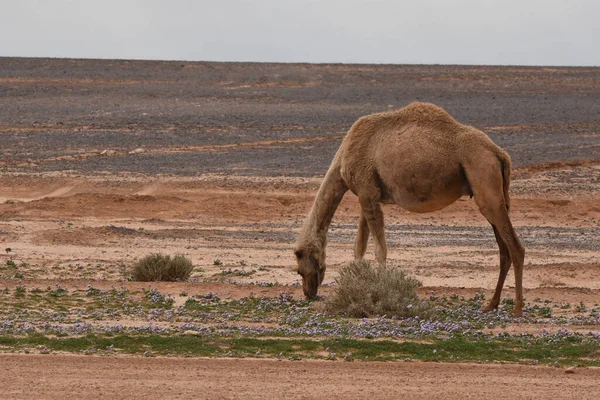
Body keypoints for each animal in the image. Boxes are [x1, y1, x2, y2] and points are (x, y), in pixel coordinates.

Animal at [296, 101, 524, 318]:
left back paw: (517, 309)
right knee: (503, 250)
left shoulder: (367, 191)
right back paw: (491, 305)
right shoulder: (367, 193)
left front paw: (382, 294)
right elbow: (359, 247)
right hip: (492, 189)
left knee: (515, 247)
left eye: (298, 259)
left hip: (484, 179)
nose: (308, 292)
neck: (343, 159)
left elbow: (380, 250)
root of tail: (499, 153)